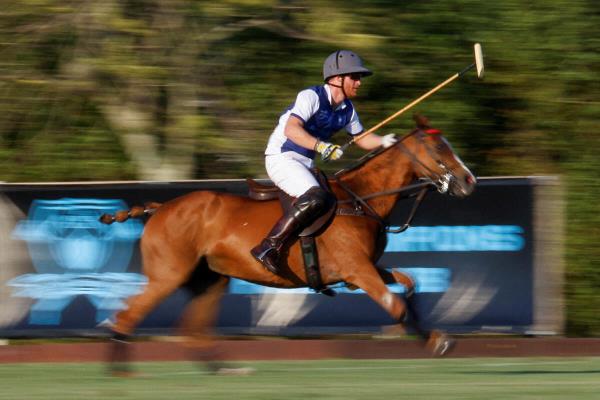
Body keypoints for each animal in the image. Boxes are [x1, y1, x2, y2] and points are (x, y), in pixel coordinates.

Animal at [99, 115, 474, 376]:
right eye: (439, 148)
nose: (469, 181)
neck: (360, 199)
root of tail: (159, 208)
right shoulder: (357, 269)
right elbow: (396, 306)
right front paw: (436, 341)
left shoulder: (362, 268)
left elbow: (409, 284)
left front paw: (438, 338)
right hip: (168, 274)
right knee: (126, 314)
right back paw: (119, 371)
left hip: (210, 280)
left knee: (192, 329)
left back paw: (223, 369)